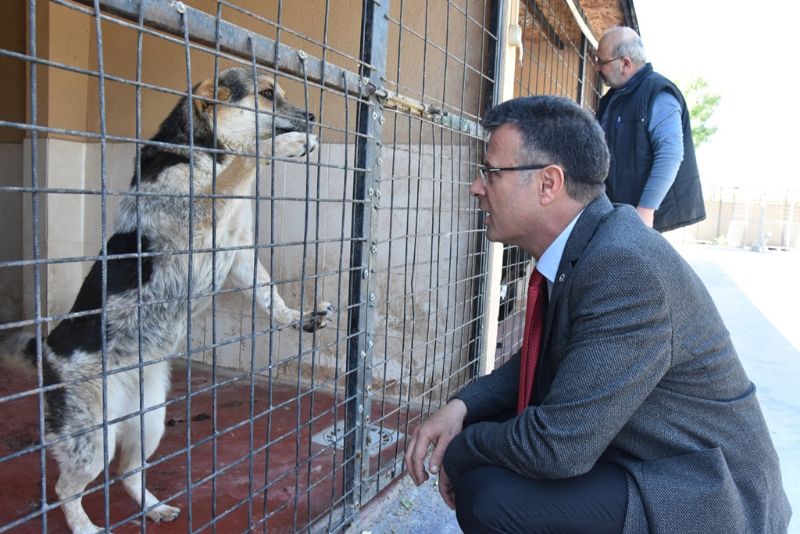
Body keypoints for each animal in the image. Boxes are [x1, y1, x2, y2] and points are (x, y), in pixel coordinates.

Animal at [0, 68, 332, 534]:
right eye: (267, 94)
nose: (314, 116)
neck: (205, 152)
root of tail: (45, 348)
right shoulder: (202, 215)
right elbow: (247, 159)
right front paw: (283, 146)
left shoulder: (238, 253)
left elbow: (268, 293)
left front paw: (296, 317)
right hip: (92, 436)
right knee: (66, 489)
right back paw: (85, 526)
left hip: (150, 420)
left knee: (127, 472)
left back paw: (153, 508)